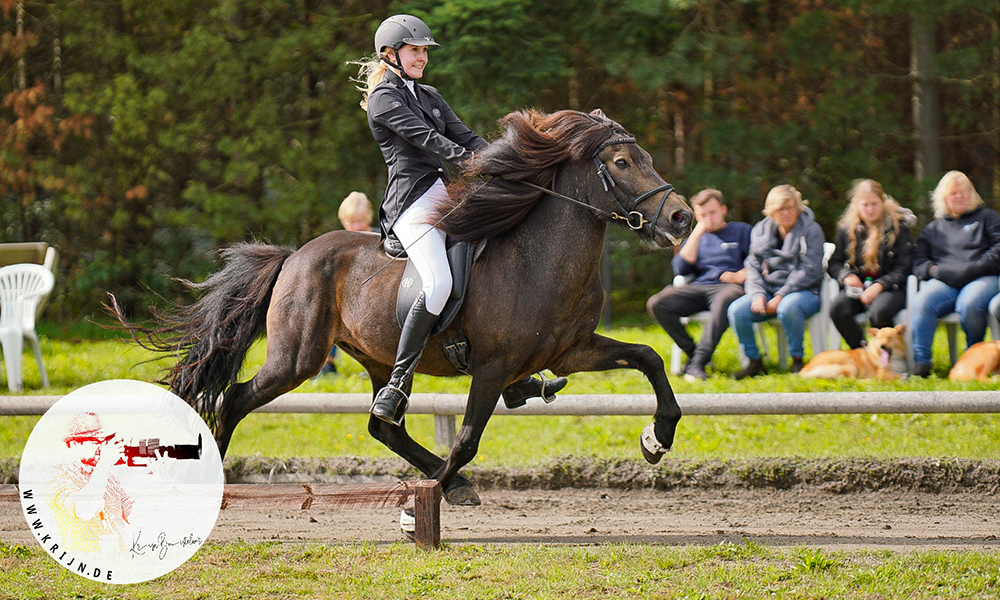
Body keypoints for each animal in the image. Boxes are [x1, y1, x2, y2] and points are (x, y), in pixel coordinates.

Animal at [107, 109, 688, 506]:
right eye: (621, 163)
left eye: (646, 159)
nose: (681, 218)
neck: (539, 258)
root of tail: (295, 255)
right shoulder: (494, 366)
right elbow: (469, 439)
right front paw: (424, 507)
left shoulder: (570, 351)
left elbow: (650, 359)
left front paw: (656, 439)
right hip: (298, 358)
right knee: (236, 397)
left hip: (378, 358)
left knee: (382, 424)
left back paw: (452, 483)